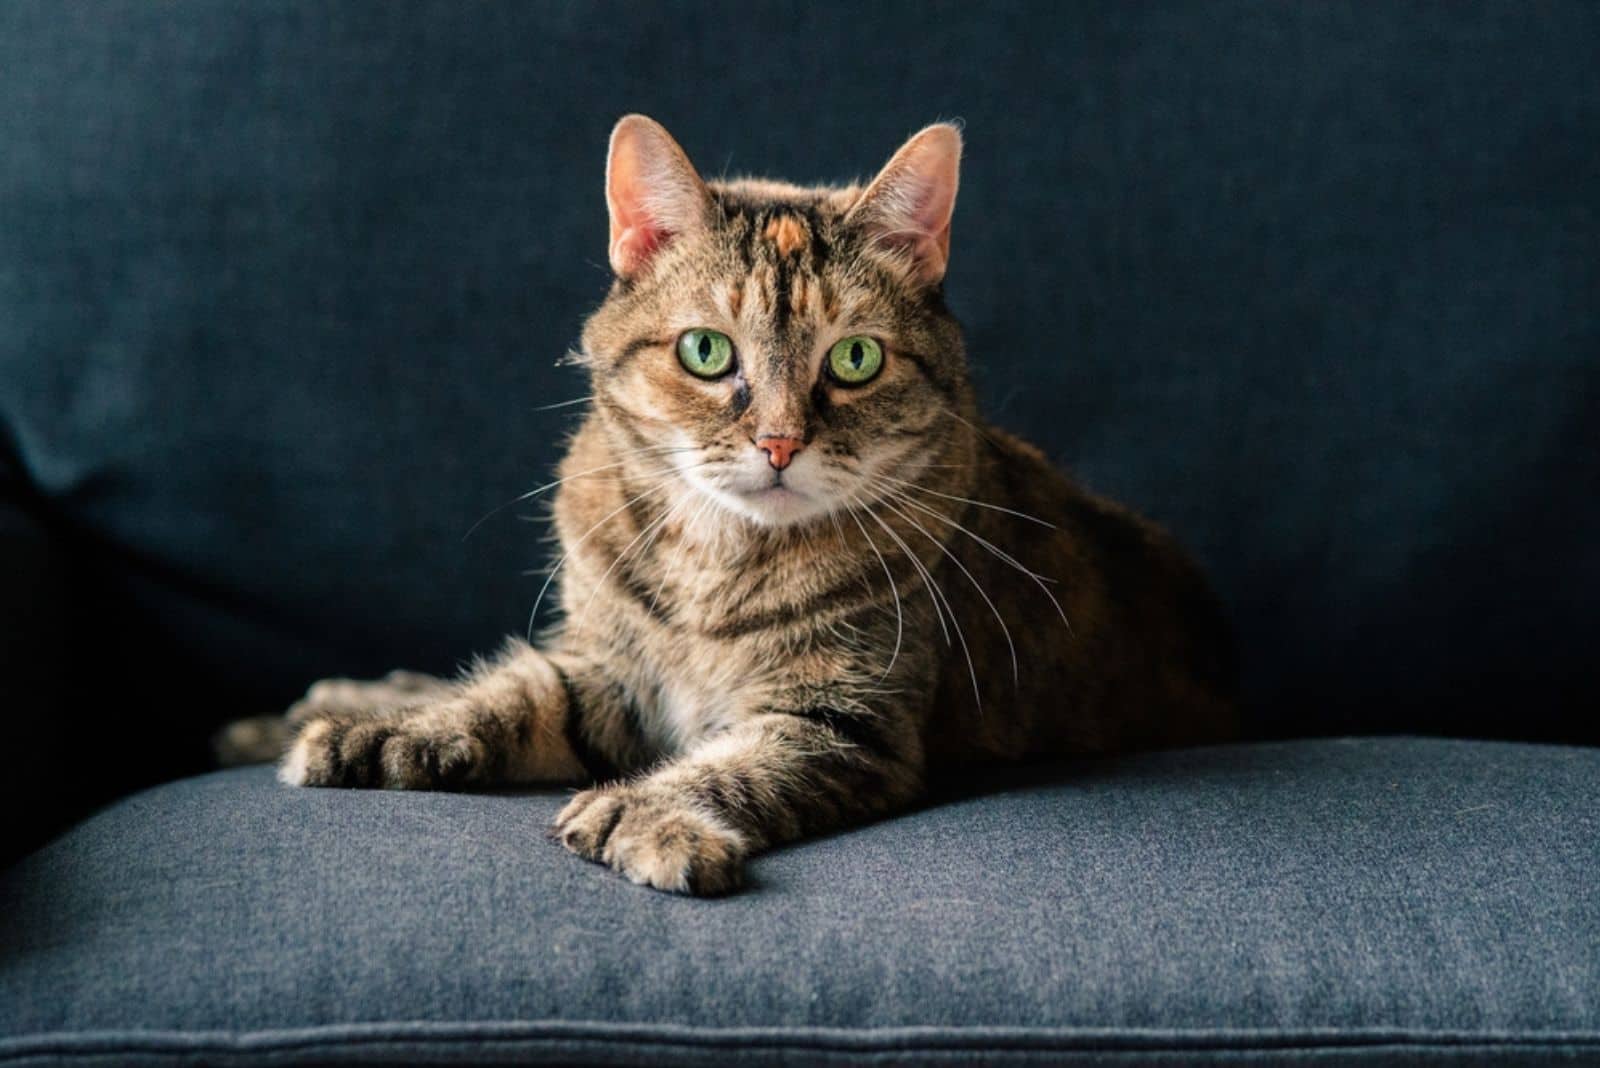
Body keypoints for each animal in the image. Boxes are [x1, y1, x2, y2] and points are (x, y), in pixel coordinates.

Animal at [232, 115, 1241, 895]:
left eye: (855, 359)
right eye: (707, 351)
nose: (781, 442)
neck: (717, 560)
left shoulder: (843, 720)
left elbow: (734, 767)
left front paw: (647, 816)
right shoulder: (607, 671)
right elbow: (510, 698)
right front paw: (384, 734)